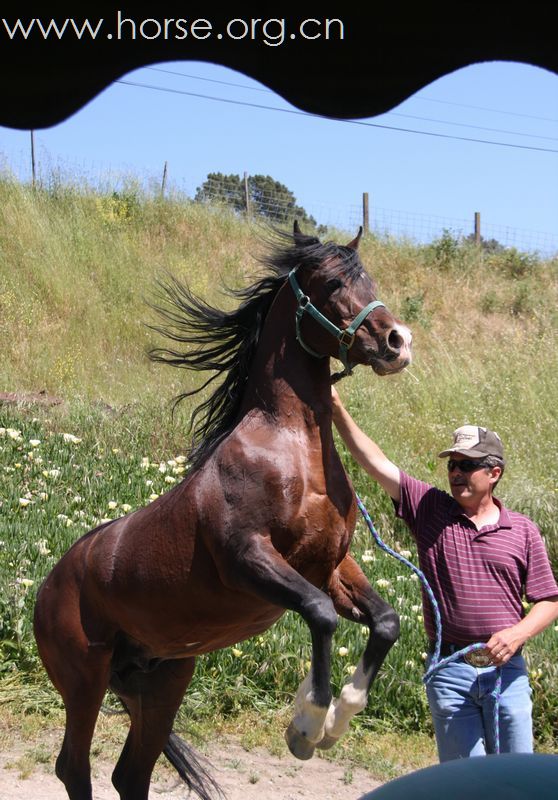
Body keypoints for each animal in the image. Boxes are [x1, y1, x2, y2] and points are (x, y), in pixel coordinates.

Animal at [32, 223, 414, 800]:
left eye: (368, 277)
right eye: (331, 282)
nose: (399, 342)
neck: (290, 449)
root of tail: (46, 588)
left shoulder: (331, 566)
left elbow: (387, 622)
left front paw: (336, 719)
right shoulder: (249, 560)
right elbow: (321, 615)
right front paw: (306, 725)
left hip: (162, 682)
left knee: (130, 774)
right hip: (84, 681)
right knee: (73, 768)